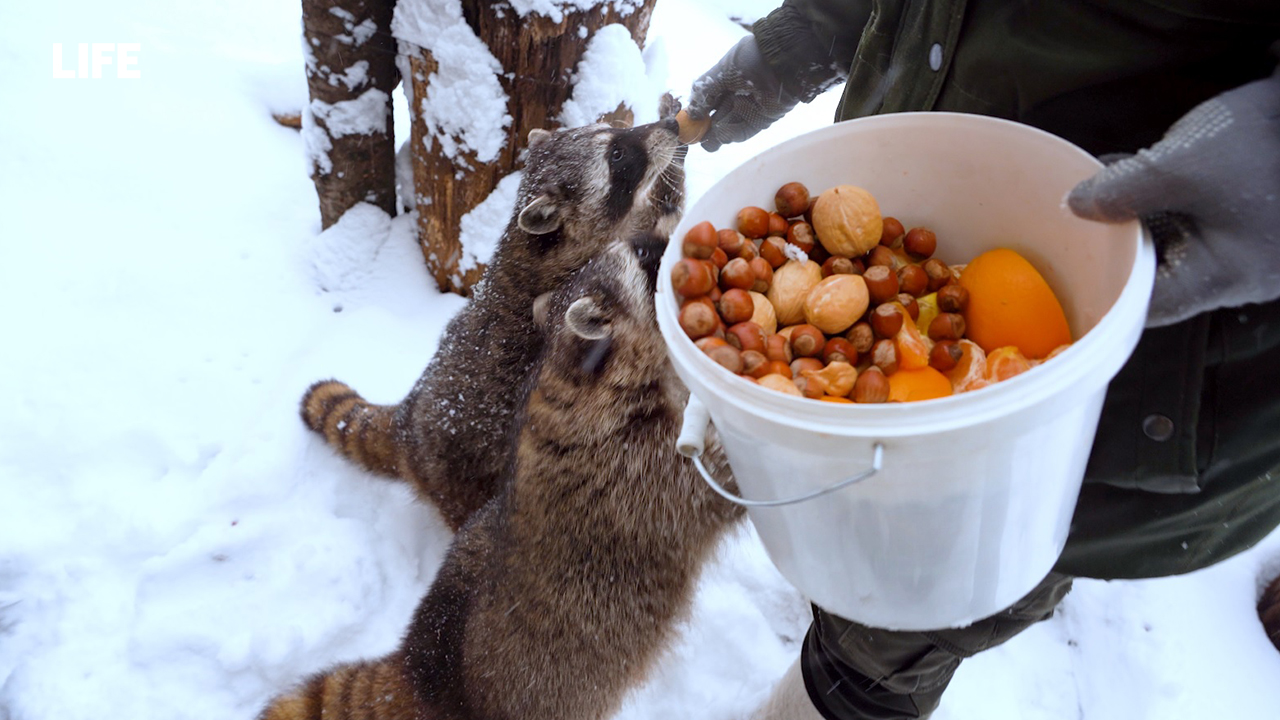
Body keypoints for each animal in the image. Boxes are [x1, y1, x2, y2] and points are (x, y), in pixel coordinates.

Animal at [256, 235, 747, 717]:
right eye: (647, 259)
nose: (673, 240)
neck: (574, 372)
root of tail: (422, 671)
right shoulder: (637, 467)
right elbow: (713, 486)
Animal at [300, 117, 686, 530]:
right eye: (616, 155)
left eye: (615, 130)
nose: (670, 126)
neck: (547, 245)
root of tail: (407, 420)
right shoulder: (593, 283)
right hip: (459, 476)